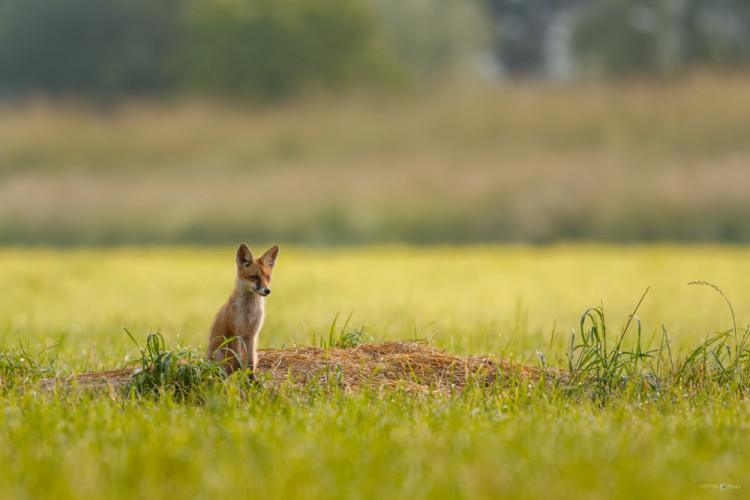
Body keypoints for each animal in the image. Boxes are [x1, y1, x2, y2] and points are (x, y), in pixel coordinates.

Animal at [207, 244, 280, 376]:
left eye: (268, 277)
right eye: (254, 277)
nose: (267, 291)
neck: (249, 313)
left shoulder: (252, 335)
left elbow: (250, 363)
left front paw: (251, 378)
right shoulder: (236, 333)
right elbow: (237, 361)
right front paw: (238, 377)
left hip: (254, 352)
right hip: (218, 354)